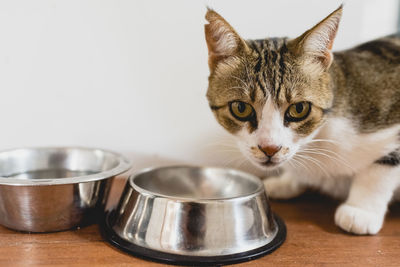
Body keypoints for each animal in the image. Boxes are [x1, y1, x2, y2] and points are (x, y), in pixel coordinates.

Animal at [205, 5, 400, 236]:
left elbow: (378, 172)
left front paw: (361, 210)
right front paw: (287, 182)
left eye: (299, 109)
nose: (269, 148)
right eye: (241, 108)